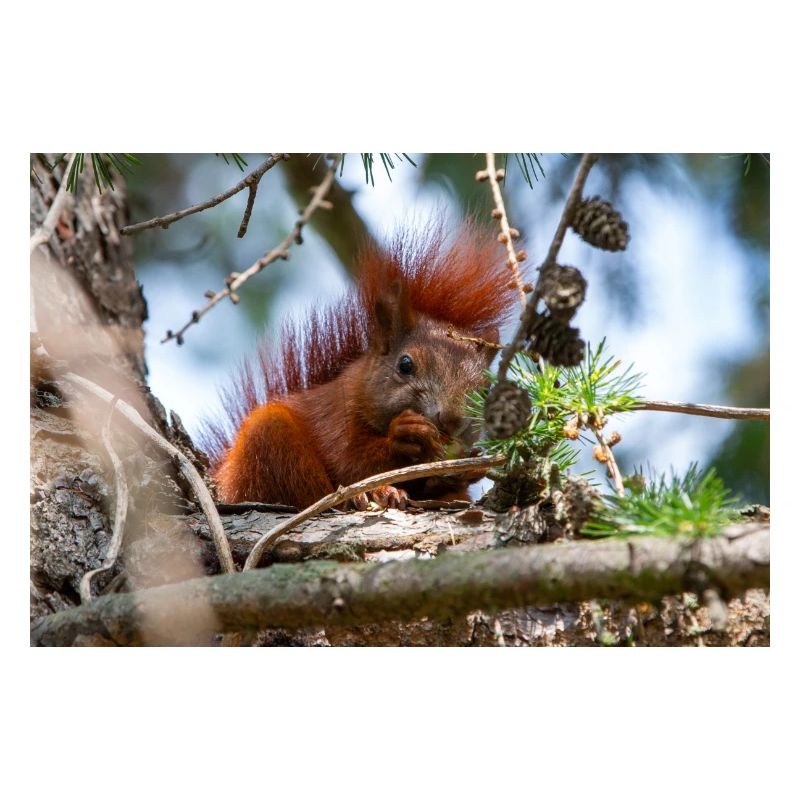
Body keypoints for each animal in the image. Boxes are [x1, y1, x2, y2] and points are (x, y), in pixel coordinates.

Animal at [201, 221, 521, 510]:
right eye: (405, 365)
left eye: (485, 389)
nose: (452, 419)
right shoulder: (334, 418)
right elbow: (351, 462)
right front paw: (405, 435)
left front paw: (470, 467)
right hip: (268, 442)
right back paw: (368, 495)